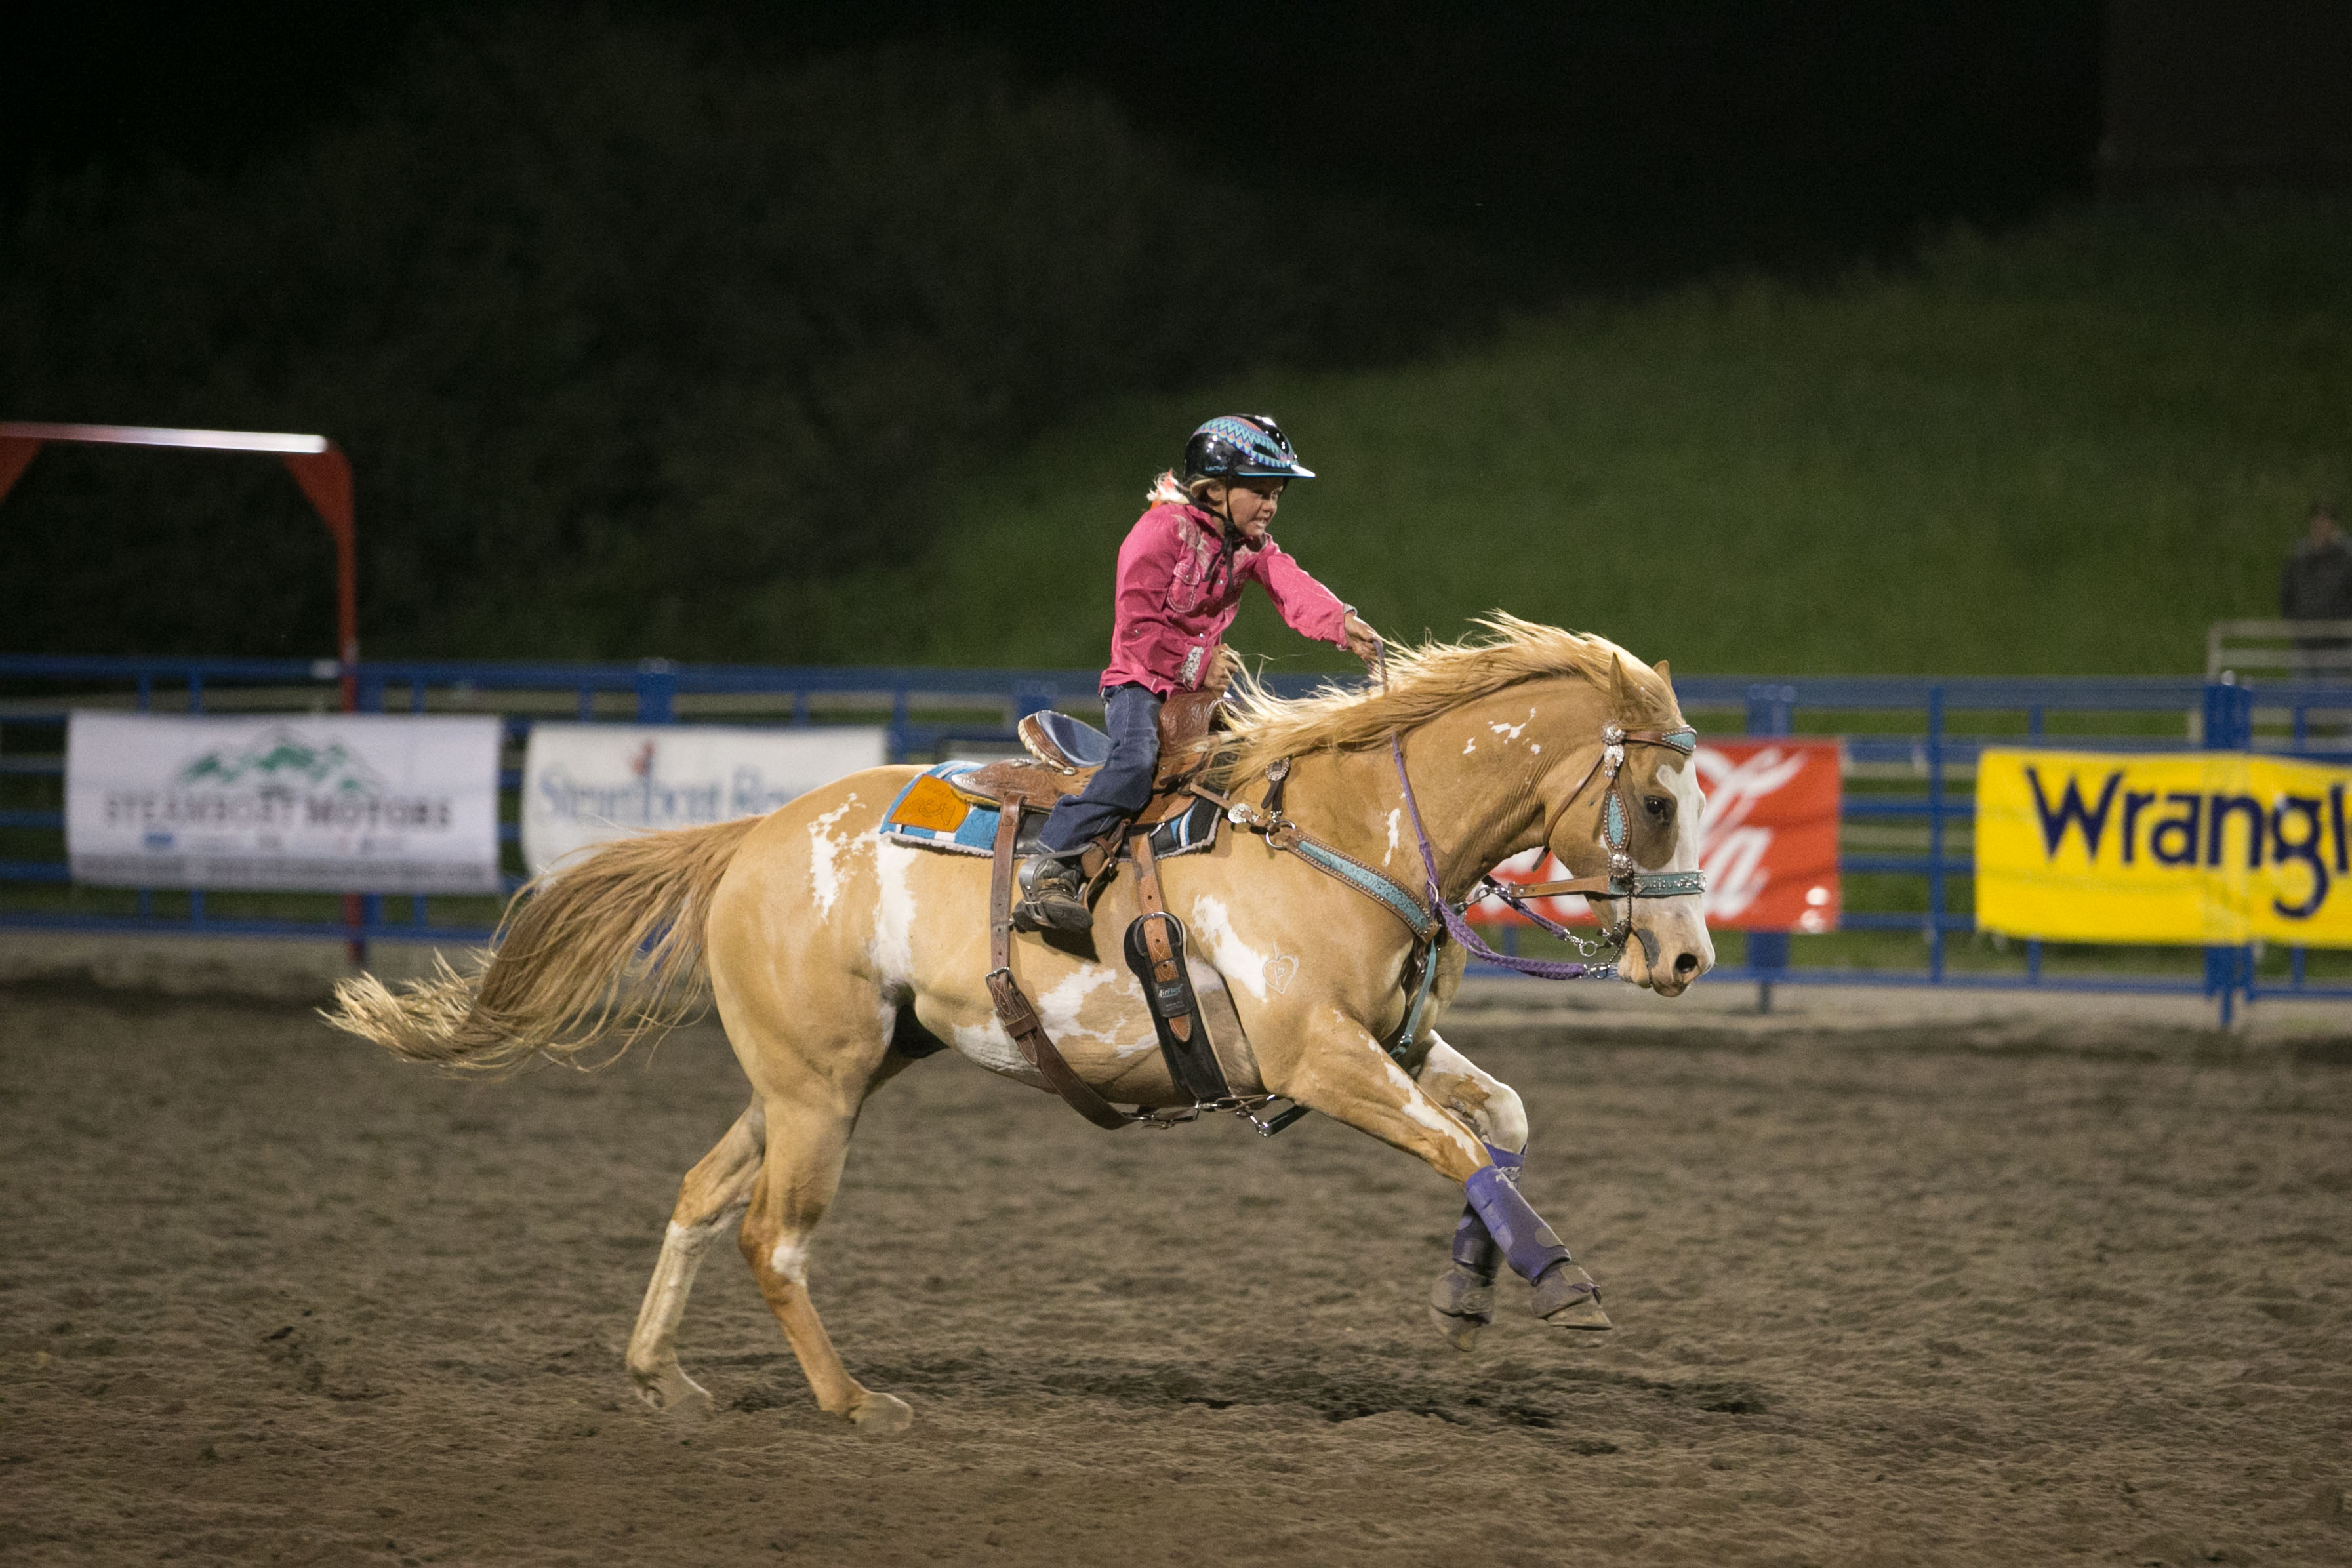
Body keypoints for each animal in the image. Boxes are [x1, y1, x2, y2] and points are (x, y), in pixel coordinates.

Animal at [327, 620, 1712, 1429]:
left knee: (704, 1194)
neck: (1338, 828)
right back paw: (853, 1402)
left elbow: (1498, 1126)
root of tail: (755, 835)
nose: (1690, 956)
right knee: (774, 1236)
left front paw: (1467, 1292)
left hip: (817, 1074)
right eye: (1654, 802)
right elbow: (1458, 1146)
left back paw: (661, 1374)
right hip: (819, 1091)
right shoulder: (1321, 1059)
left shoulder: (1400, 1044)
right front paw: (1559, 1283)